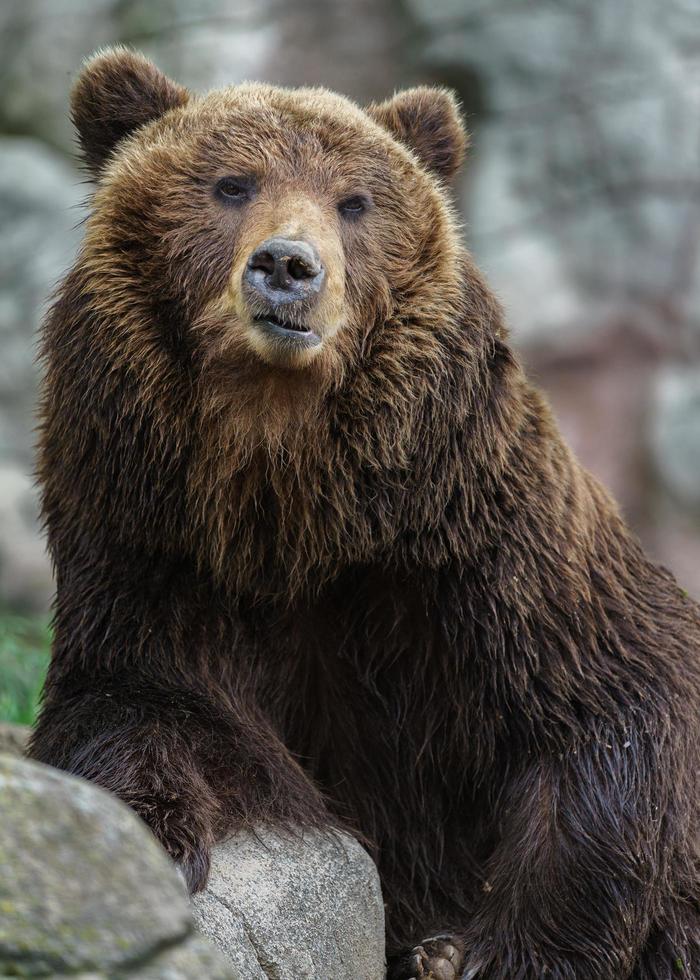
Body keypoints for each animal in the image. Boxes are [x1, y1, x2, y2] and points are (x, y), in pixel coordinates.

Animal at [28, 47, 700, 980]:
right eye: (231, 184)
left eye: (355, 202)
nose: (287, 265)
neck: (296, 499)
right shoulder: (152, 538)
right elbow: (139, 698)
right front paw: (156, 837)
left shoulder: (476, 545)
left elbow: (605, 709)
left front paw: (478, 951)